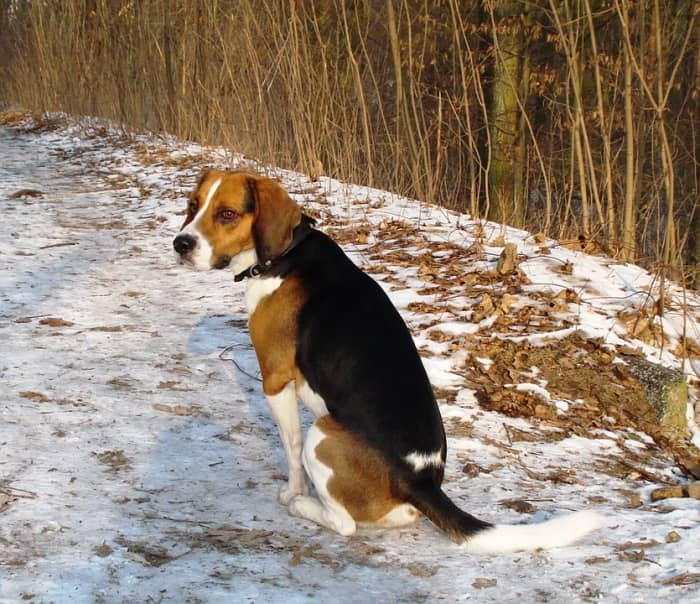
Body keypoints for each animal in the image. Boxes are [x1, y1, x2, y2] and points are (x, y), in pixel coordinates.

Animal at [175, 170, 600, 552]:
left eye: (227, 214)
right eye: (193, 206)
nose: (180, 243)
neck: (285, 254)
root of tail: (421, 482)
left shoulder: (275, 379)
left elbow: (290, 448)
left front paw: (291, 492)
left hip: (323, 436)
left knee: (344, 522)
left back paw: (304, 506)